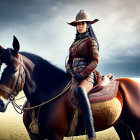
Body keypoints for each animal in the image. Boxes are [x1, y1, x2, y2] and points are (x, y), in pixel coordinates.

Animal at [0, 36, 139, 139]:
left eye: (14, 70)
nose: (0, 102)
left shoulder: (56, 136)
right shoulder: (34, 137)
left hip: (136, 125)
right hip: (121, 125)